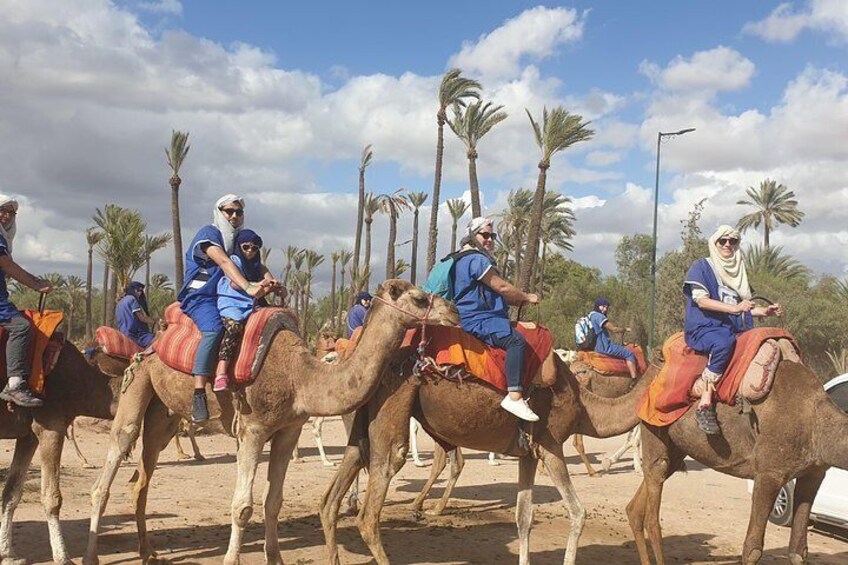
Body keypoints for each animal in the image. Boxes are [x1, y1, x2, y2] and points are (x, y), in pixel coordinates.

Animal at [0, 342, 122, 560]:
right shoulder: (51, 425)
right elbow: (52, 498)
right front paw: (63, 557)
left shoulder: (28, 435)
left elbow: (11, 493)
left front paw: (7, 553)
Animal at [84, 280, 458, 564]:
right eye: (420, 298)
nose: (453, 312)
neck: (300, 377)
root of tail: (149, 346)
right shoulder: (252, 429)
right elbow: (242, 507)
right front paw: (231, 560)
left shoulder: (288, 430)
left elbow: (273, 502)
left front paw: (275, 557)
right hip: (137, 387)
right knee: (108, 471)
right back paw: (91, 555)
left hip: (164, 416)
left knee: (142, 478)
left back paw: (149, 553)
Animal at [318, 348, 656, 564]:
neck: (587, 408)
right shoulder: (550, 446)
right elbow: (578, 513)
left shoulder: (529, 453)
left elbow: (523, 517)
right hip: (393, 407)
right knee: (370, 512)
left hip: (362, 422)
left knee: (332, 495)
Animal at [624, 356, 848, 564]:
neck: (815, 421)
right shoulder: (769, 473)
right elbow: (752, 549)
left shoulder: (814, 474)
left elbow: (798, 551)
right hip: (653, 428)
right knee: (653, 509)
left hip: (676, 448)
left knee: (638, 505)